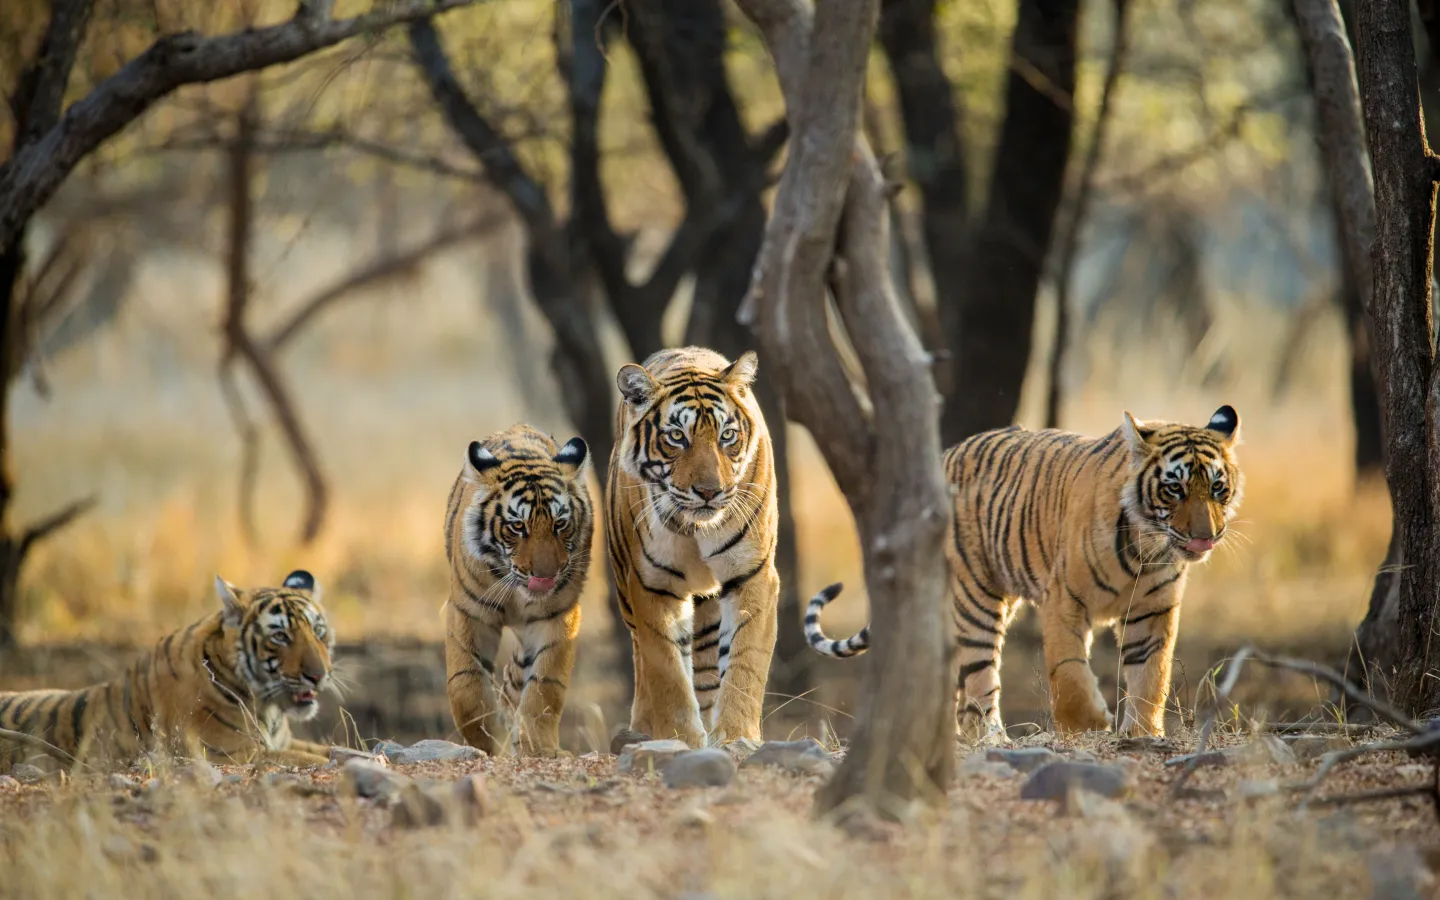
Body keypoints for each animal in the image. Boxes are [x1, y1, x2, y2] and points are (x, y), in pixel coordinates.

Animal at [0, 570, 335, 772]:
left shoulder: (281, 742)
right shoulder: (232, 753)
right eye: (280, 637)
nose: (319, 676)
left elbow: (332, 749)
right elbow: (314, 758)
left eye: (318, 631)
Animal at [444, 424, 593, 757]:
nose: (546, 577)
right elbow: (466, 685)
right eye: (517, 526)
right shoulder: (468, 611)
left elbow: (544, 686)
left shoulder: (557, 615)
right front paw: (487, 742)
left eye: (560, 524)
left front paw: (537, 748)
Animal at [606, 346, 780, 748]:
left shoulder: (752, 574)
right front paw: (680, 738)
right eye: (676, 437)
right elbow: (667, 670)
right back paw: (640, 729)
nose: (709, 492)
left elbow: (745, 662)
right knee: (644, 661)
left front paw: (736, 736)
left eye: (727, 435)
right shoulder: (653, 584)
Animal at [805, 406, 1244, 739]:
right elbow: (1068, 671)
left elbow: (1152, 675)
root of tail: (944, 456)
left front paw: (1143, 733)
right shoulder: (1063, 599)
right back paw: (991, 738)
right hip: (975, 597)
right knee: (979, 678)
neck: (1146, 548)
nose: (1205, 537)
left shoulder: (1152, 611)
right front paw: (1088, 725)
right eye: (1174, 489)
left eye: (1217, 488)